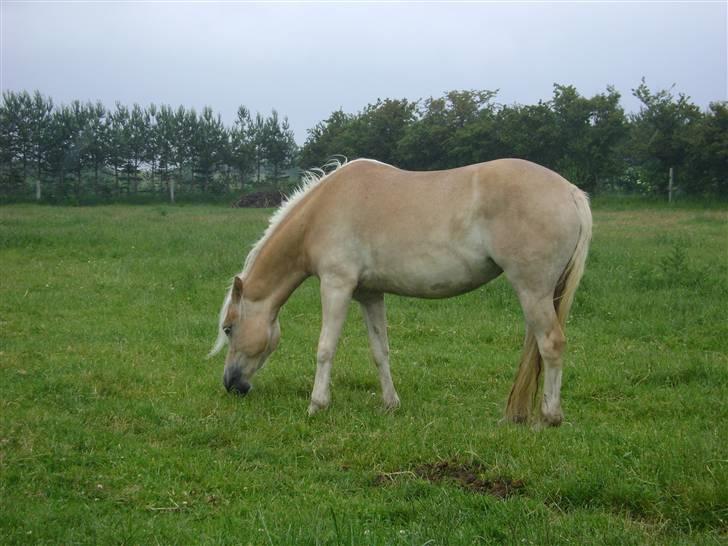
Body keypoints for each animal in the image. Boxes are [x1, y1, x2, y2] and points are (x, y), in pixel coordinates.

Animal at [210, 157, 592, 424]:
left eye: (228, 328)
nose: (231, 384)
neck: (322, 211)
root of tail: (571, 192)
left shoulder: (336, 285)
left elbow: (325, 348)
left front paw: (317, 405)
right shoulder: (369, 294)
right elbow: (380, 351)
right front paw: (390, 404)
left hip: (533, 290)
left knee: (551, 344)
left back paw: (550, 417)